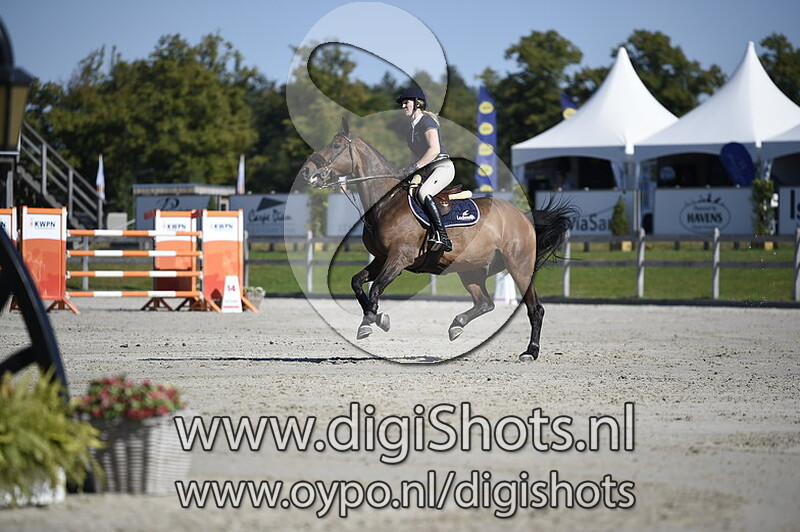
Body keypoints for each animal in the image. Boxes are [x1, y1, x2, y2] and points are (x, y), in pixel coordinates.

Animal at [298, 118, 575, 361]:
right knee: (485, 303)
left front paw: (371, 322)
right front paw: (376, 318)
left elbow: (375, 288)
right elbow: (357, 282)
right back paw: (457, 325)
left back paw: (530, 352)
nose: (307, 171)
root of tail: (523, 217)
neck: (386, 203)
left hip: (519, 267)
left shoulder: (399, 258)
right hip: (471, 271)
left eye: (336, 145)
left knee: (534, 309)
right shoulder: (382, 258)